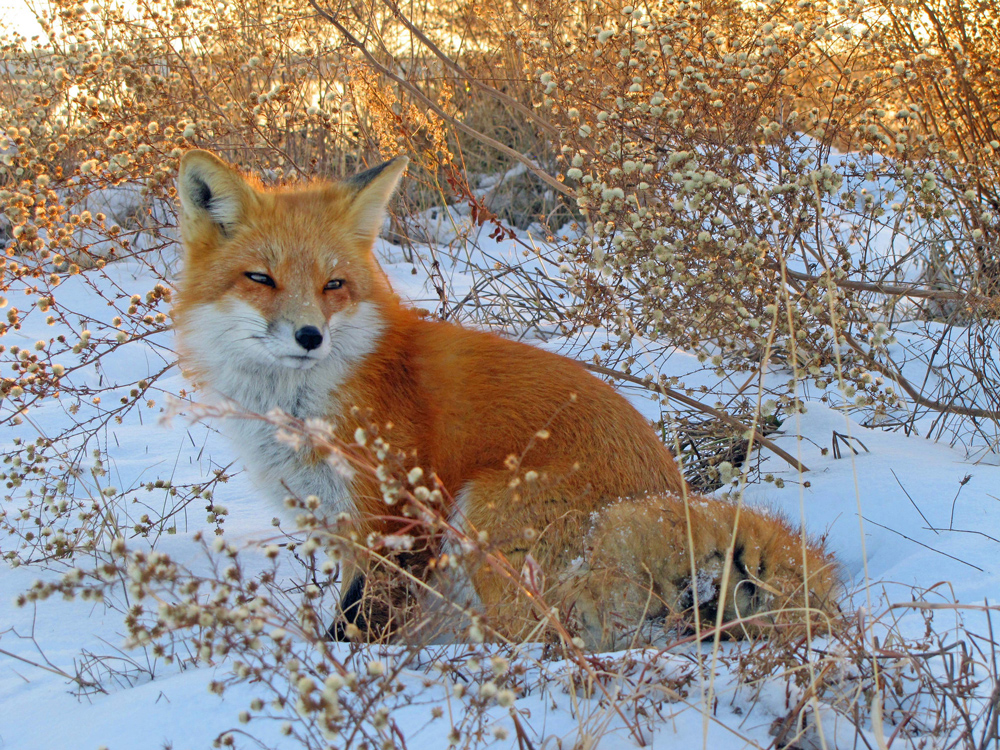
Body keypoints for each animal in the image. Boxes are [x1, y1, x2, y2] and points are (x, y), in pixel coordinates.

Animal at [174, 150, 844, 648]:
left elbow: (357, 623)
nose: (310, 336)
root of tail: (665, 501)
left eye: (333, 284)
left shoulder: (398, 517)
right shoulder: (341, 524)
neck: (299, 411)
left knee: (539, 640)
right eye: (261, 279)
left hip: (487, 520)